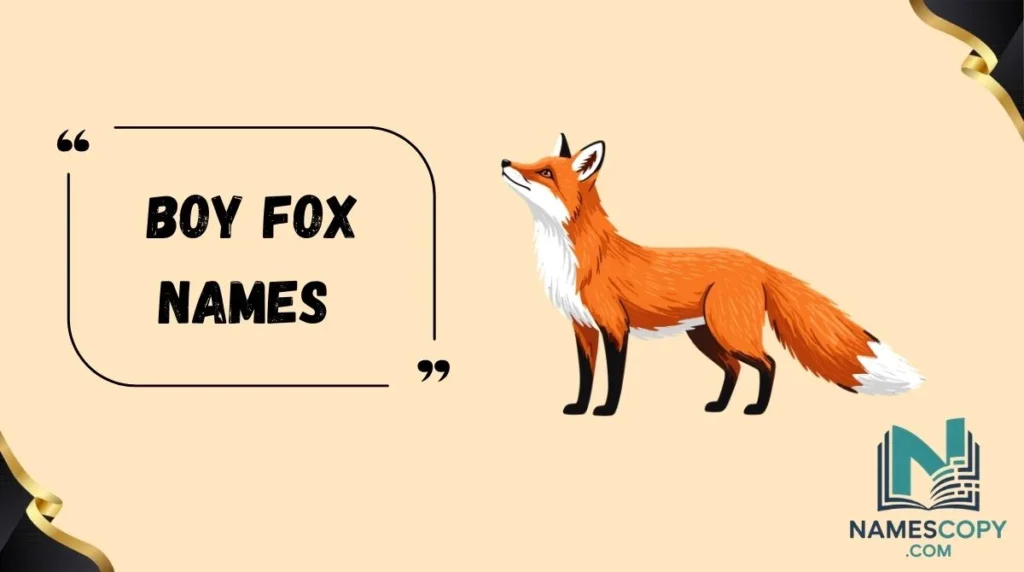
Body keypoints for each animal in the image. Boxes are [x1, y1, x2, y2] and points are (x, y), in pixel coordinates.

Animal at [501, 134, 924, 416]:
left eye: (544, 171)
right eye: (534, 163)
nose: (505, 162)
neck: (575, 258)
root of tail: (756, 261)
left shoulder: (615, 328)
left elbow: (614, 379)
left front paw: (607, 410)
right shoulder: (582, 328)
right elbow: (585, 377)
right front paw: (579, 407)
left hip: (728, 332)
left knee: (768, 363)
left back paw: (757, 409)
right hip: (707, 337)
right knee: (735, 369)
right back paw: (720, 406)